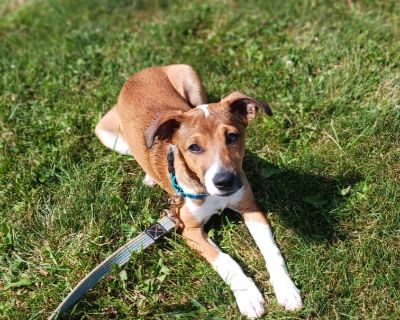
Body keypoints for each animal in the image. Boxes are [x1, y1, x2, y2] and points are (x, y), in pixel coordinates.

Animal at [95, 64, 302, 318]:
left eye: (232, 136)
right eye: (193, 147)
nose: (225, 181)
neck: (209, 193)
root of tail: (139, 73)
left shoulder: (250, 207)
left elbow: (271, 250)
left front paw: (286, 288)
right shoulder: (189, 230)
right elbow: (225, 259)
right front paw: (248, 295)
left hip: (190, 77)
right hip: (108, 136)